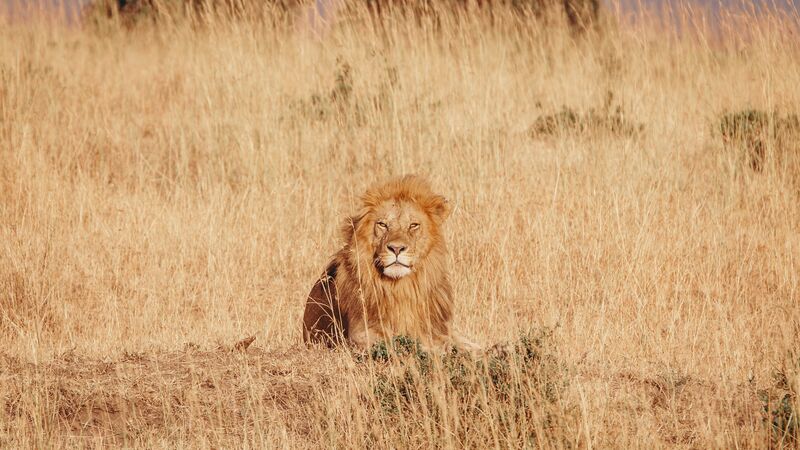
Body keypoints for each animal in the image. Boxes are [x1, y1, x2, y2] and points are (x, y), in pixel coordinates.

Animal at [302, 175, 476, 351]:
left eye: (413, 225)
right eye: (383, 224)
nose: (396, 248)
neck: (401, 288)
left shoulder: (438, 329)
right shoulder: (360, 334)